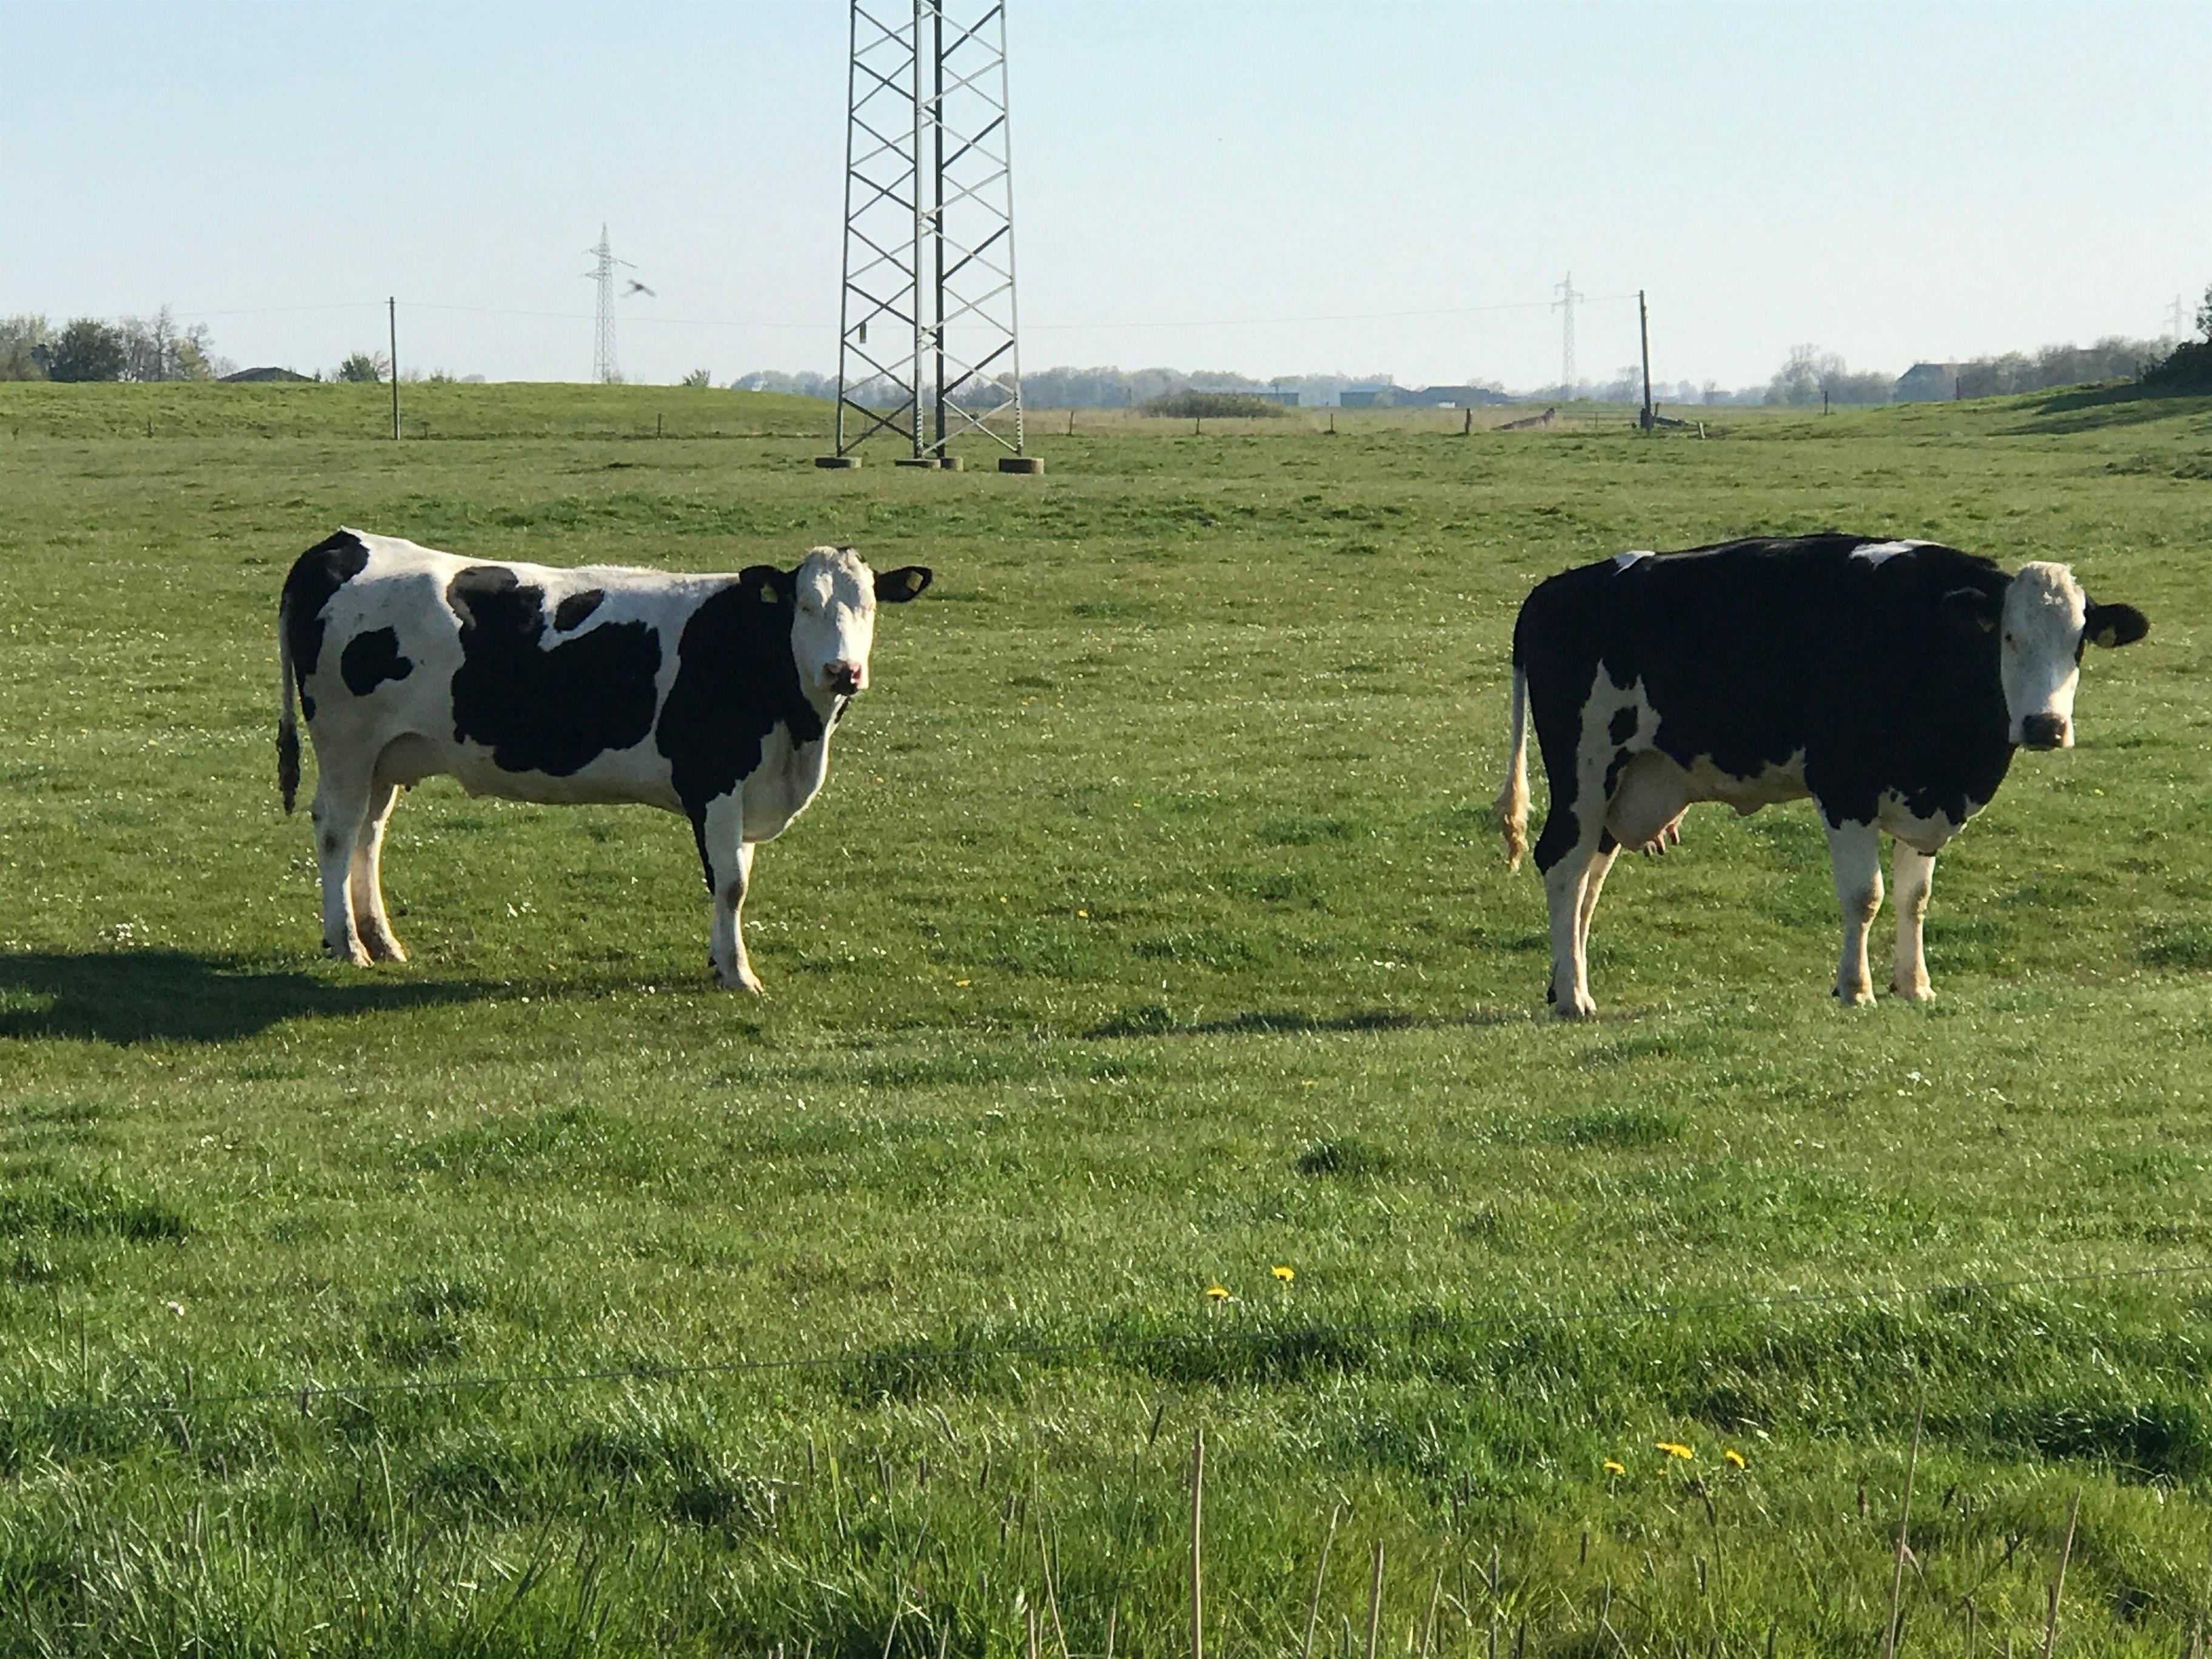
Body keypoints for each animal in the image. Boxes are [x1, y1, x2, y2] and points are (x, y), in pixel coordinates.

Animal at [275, 529, 932, 990]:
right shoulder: (716, 780)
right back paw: (347, 943)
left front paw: (721, 960)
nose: (843, 671)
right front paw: (738, 973)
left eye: (870, 607)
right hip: (346, 744)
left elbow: (734, 878)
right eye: (805, 606)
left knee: (369, 833)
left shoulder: (747, 791)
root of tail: (343, 542)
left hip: (385, 756)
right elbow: (731, 883)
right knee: (336, 832)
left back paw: (381, 940)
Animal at [1492, 534, 2149, 1018]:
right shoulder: (1844, 786)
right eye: (2009, 638)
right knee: (1564, 866)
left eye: (2078, 645)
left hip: (1623, 785)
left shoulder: (1925, 796)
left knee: (1589, 879)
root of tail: (1550, 591)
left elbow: (1914, 897)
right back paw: (1573, 996)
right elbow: (1866, 895)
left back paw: (1565, 981)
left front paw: (1914, 985)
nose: (2046, 725)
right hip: (1585, 770)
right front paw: (1854, 988)